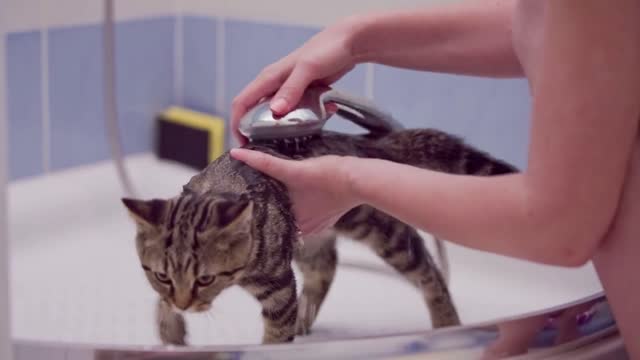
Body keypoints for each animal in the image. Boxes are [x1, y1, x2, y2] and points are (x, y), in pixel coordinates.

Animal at [122, 128, 516, 344]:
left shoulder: (278, 286)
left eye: (205, 279)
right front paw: (169, 328)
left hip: (377, 226)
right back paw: (305, 316)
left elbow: (275, 336)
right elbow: (160, 301)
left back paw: (446, 325)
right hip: (311, 238)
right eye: (161, 275)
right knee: (326, 266)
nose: (184, 304)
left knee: (428, 271)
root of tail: (365, 143)